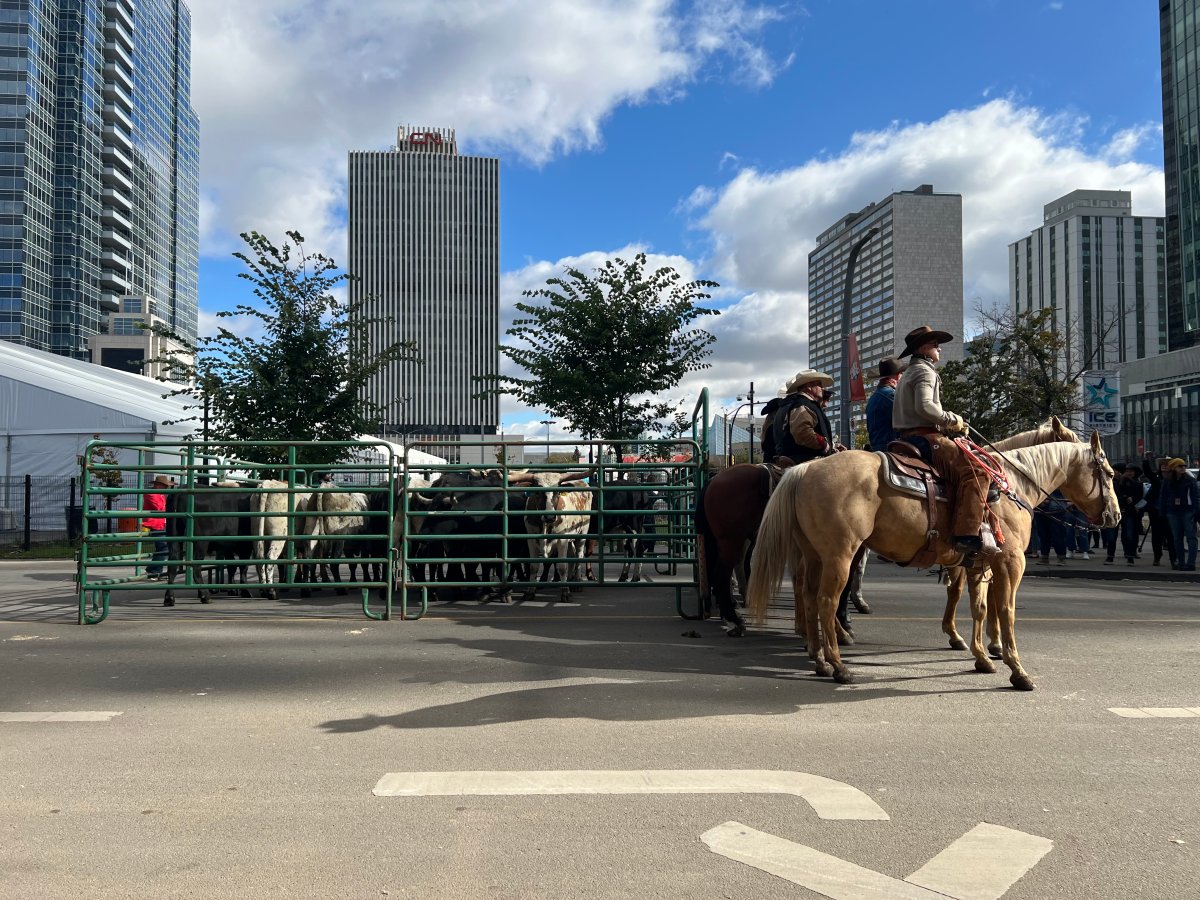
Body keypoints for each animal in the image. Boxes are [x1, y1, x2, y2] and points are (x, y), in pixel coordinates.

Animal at [744, 434, 1118, 696]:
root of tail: (805, 468)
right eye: (1111, 473)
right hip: (840, 555)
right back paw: (838, 665)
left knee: (808, 598)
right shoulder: (1011, 562)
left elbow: (979, 607)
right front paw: (1015, 667)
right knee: (826, 602)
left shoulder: (977, 563)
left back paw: (820, 658)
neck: (1011, 486)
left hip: (814, 554)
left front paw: (982, 656)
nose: (1115, 516)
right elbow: (1006, 611)